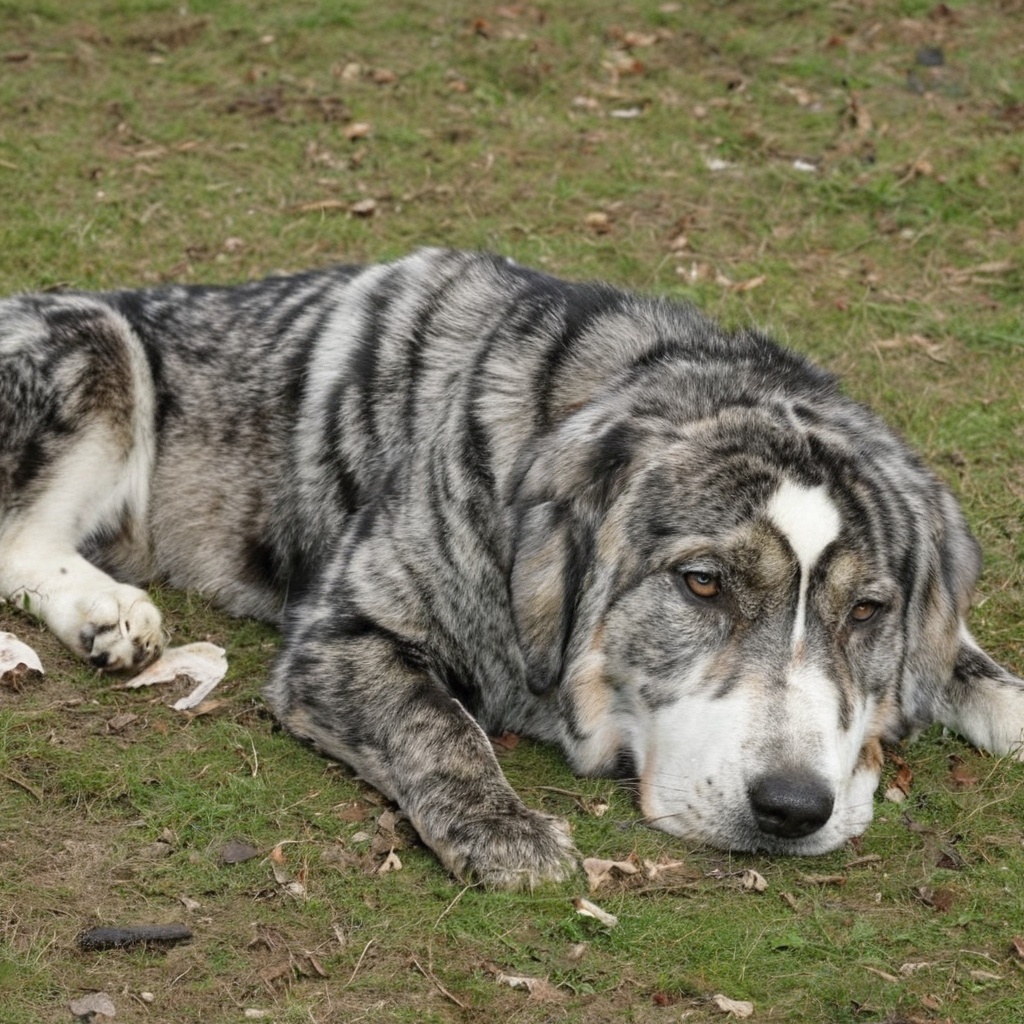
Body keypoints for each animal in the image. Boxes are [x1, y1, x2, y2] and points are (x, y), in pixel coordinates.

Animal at [2, 249, 1022, 886]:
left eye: (868, 612)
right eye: (702, 583)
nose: (794, 808)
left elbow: (962, 658)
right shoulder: (344, 637)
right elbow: (438, 726)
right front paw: (504, 830)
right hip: (94, 343)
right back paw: (101, 611)